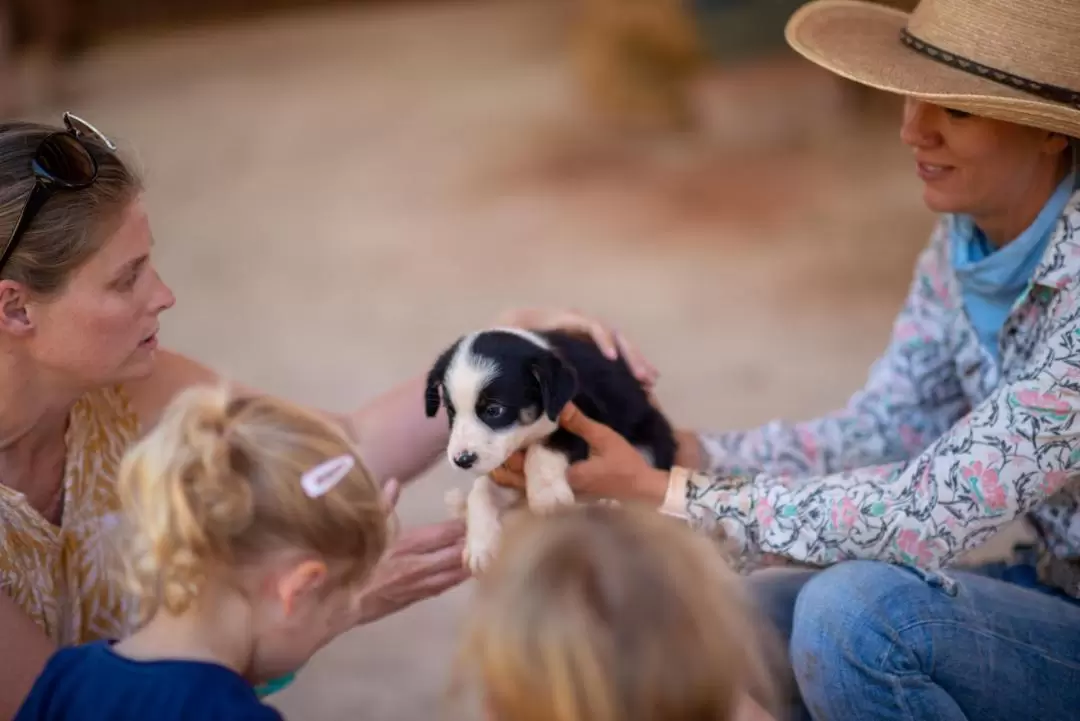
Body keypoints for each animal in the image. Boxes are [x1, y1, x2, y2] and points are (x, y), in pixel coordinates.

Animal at [423, 328, 669, 574]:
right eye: (451, 411)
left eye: (494, 410)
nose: (462, 460)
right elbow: (480, 491)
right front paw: (479, 546)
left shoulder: (587, 418)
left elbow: (547, 444)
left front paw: (547, 494)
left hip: (651, 433)